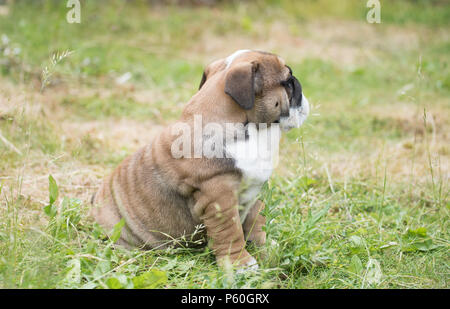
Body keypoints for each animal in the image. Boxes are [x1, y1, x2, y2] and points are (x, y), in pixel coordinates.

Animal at [91, 49, 310, 268]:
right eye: (288, 82)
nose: (298, 82)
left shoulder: (254, 192)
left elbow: (257, 222)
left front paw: (266, 250)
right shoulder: (219, 198)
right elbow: (231, 234)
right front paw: (241, 264)